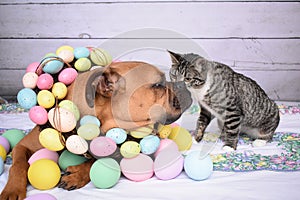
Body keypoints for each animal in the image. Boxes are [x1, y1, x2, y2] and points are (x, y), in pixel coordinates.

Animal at [0, 61, 192, 200]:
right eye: (158, 84)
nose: (184, 85)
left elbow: (103, 159)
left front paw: (77, 174)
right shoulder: (23, 146)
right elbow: (18, 164)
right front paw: (12, 190)